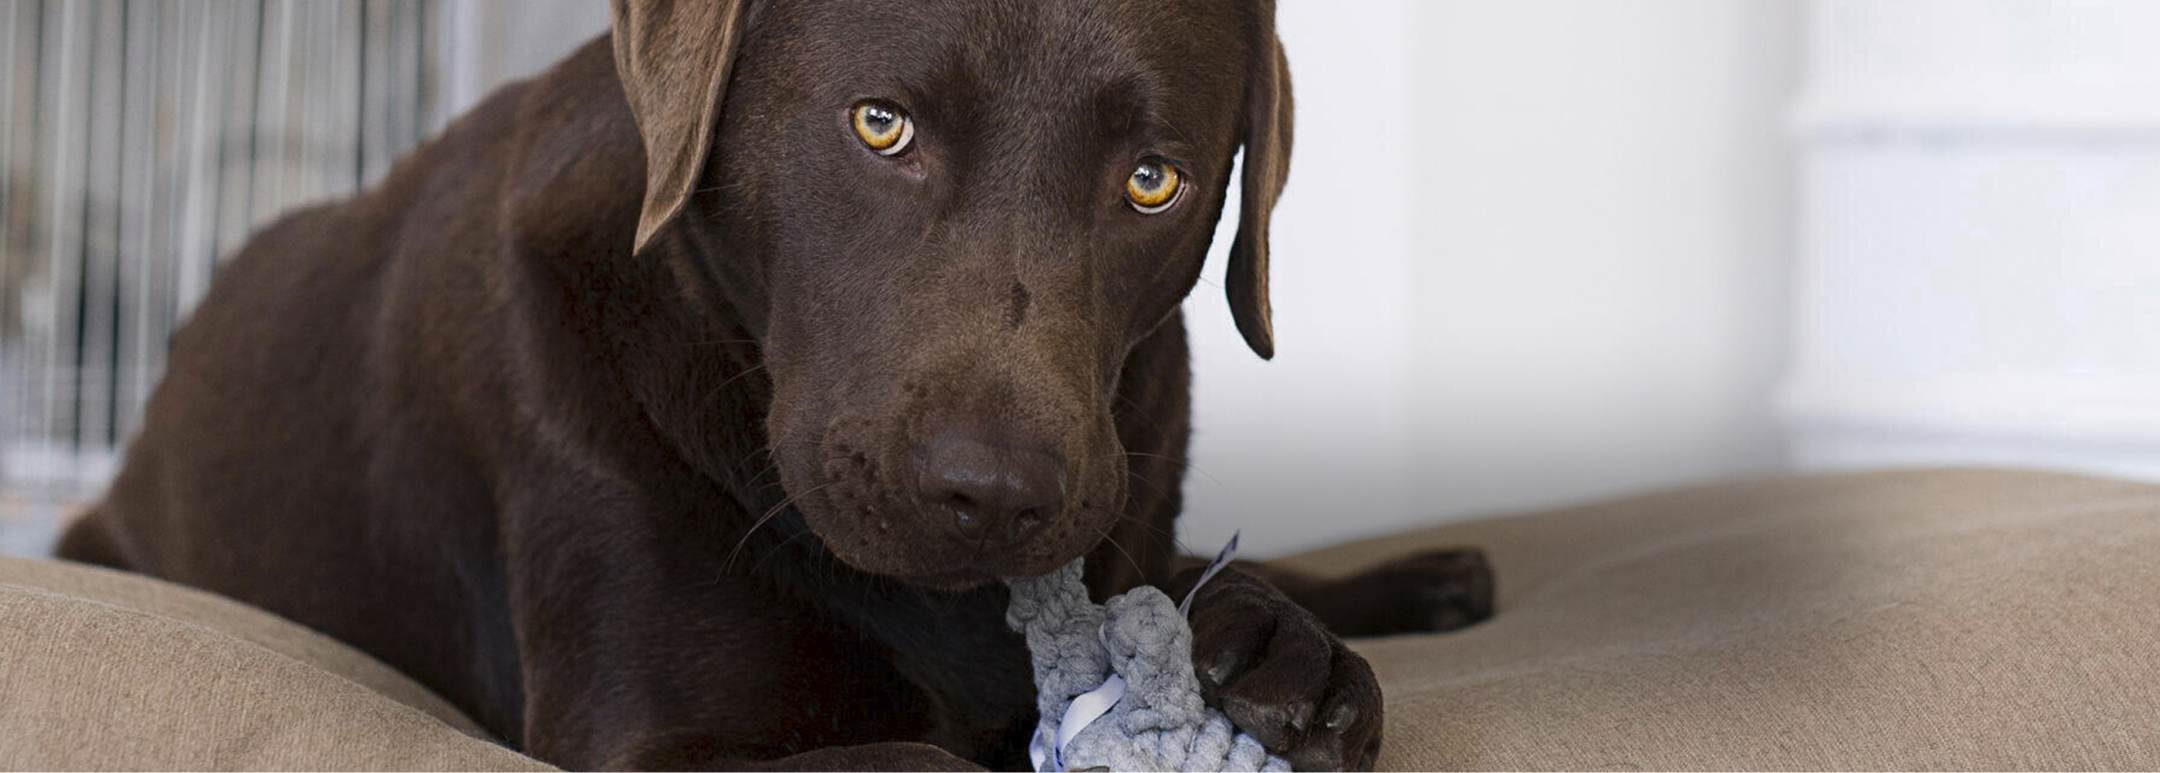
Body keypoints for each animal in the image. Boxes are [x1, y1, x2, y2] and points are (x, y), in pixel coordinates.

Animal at [59, 3, 1494, 768]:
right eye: (880, 125)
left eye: (1154, 180)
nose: (992, 495)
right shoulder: (646, 740)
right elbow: (921, 754)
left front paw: (1272, 648)